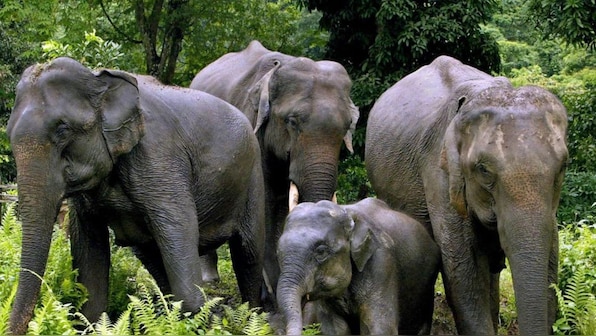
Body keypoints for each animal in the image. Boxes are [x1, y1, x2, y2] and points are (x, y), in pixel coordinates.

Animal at [7, 56, 266, 334]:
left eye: (62, 130)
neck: (98, 79)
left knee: (248, 253)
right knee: (151, 255)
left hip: (254, 177)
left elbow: (179, 227)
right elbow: (88, 246)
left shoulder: (160, 159)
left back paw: (253, 318)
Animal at [191, 40, 358, 302]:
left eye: (347, 127)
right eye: (292, 121)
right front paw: (270, 296)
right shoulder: (252, 131)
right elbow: (266, 204)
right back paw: (210, 280)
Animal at [278, 198, 440, 334]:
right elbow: (335, 329)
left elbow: (379, 327)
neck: (346, 211)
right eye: (278, 252)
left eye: (321, 251)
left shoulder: (381, 263)